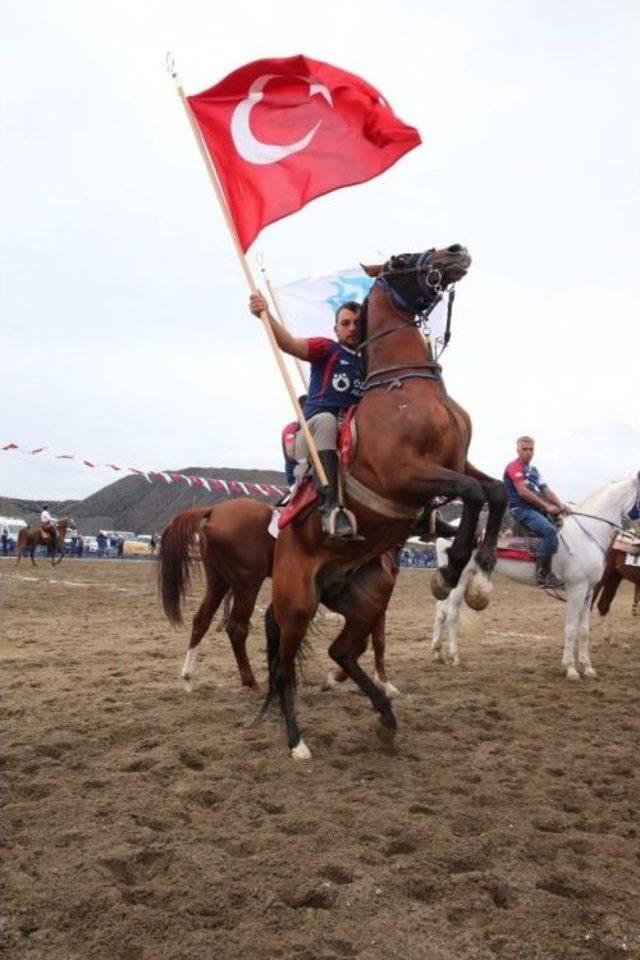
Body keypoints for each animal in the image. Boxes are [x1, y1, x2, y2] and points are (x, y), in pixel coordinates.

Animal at [262, 244, 508, 760]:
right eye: (399, 258)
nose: (455, 251)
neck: (403, 387)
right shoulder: (407, 474)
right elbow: (474, 493)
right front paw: (449, 571)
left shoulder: (458, 460)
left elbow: (494, 491)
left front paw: (479, 581)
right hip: (296, 604)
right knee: (285, 670)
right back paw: (297, 742)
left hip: (369, 596)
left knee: (341, 651)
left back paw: (387, 716)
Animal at [432, 476, 636, 680]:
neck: (586, 533)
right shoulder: (576, 589)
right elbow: (571, 628)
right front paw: (570, 669)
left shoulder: (588, 590)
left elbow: (584, 630)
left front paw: (587, 667)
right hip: (462, 578)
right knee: (451, 613)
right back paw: (455, 656)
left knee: (441, 610)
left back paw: (437, 652)